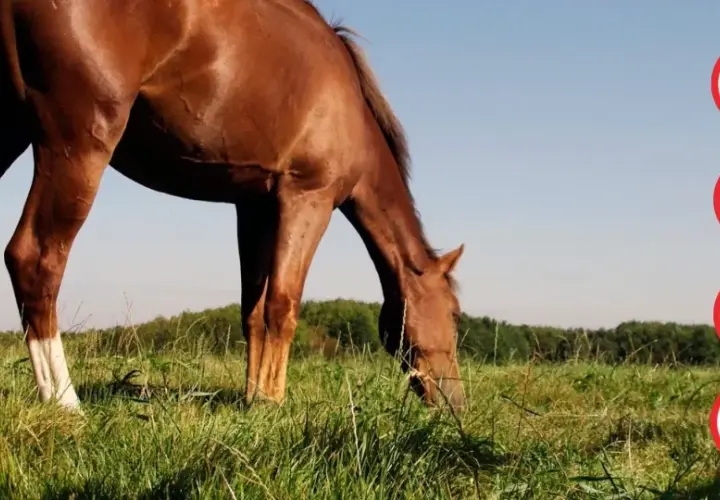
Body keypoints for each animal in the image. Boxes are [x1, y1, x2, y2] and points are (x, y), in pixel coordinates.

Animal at [0, 0, 466, 412]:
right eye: (455, 313)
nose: (457, 403)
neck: (349, 106)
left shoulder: (255, 208)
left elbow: (253, 311)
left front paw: (253, 397)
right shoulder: (306, 199)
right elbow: (282, 305)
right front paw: (273, 402)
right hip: (78, 145)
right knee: (34, 260)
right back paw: (65, 402)